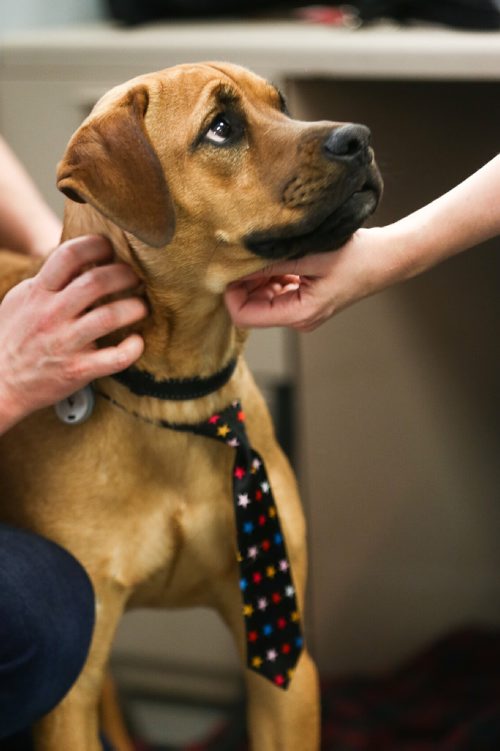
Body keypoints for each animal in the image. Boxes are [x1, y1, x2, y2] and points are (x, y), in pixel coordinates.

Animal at [0, 61, 380, 748]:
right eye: (221, 128)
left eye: (282, 104)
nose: (359, 137)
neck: (178, 399)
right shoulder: (70, 699)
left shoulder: (282, 654)